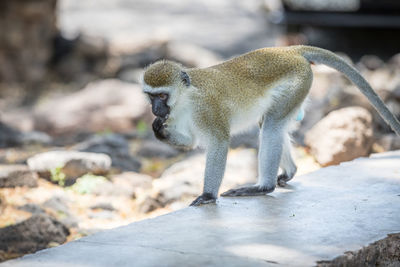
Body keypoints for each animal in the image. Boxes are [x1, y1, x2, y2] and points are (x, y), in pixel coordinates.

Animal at [141, 45, 400, 207]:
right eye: (151, 97)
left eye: (162, 96)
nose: (156, 109)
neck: (184, 99)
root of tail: (288, 50)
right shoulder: (177, 119)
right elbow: (191, 141)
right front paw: (158, 128)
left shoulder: (206, 109)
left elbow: (219, 143)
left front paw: (207, 194)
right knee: (269, 124)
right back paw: (289, 171)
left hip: (297, 83)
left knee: (272, 126)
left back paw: (263, 187)